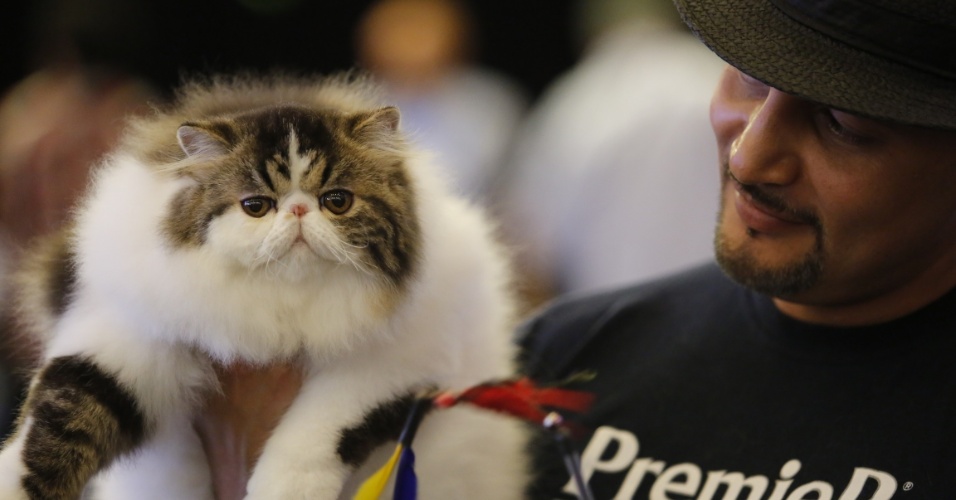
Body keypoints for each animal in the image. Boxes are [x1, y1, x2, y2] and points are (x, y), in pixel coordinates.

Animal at [0, 72, 532, 498]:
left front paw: (284, 489)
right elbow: (54, 425)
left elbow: (317, 433)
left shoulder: (398, 364)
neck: (282, 308)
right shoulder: (127, 341)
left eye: (337, 201)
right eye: (255, 205)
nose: (297, 210)